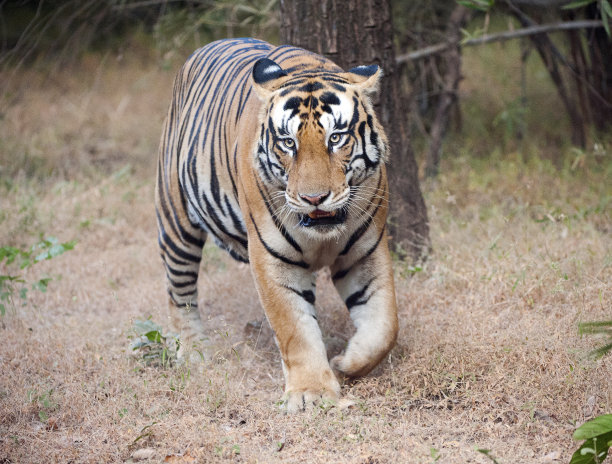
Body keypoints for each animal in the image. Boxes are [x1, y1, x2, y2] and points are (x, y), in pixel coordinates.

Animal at [155, 37, 400, 414]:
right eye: (288, 143)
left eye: (336, 138)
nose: (314, 198)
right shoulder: (273, 259)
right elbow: (294, 329)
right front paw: (313, 393)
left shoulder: (365, 252)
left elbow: (384, 325)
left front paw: (347, 362)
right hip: (176, 221)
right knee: (179, 293)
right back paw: (195, 354)